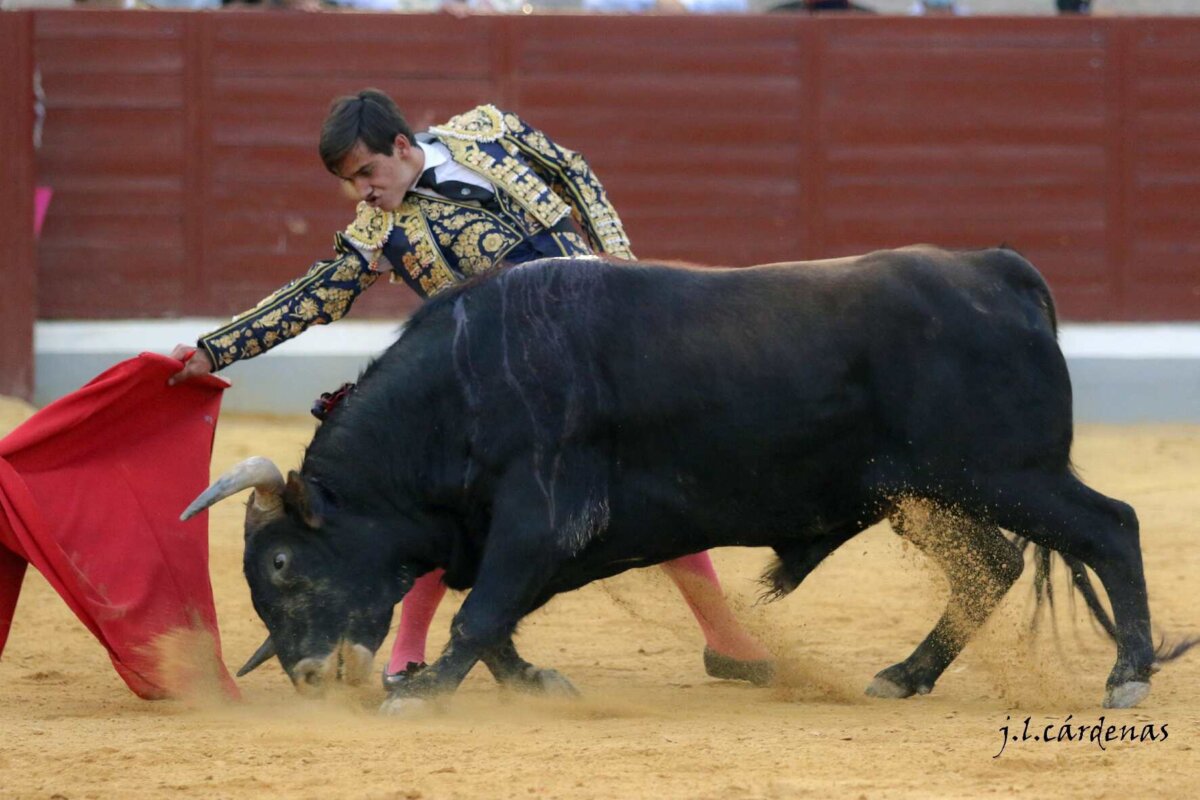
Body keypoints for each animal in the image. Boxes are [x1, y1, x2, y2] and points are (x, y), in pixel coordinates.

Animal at [182, 244, 1195, 705]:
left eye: (281, 566)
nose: (310, 675)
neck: (462, 386)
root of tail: (995, 270)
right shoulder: (514, 536)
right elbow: (492, 613)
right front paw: (523, 679)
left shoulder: (543, 516)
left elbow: (482, 608)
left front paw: (424, 691)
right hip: (929, 494)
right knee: (993, 565)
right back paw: (903, 676)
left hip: (1010, 473)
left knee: (1112, 527)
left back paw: (1127, 677)